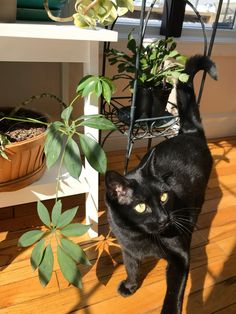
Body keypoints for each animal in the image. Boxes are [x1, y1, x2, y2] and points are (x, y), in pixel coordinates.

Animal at [105, 55, 218, 312]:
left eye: (165, 197)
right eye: (141, 206)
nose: (165, 218)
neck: (138, 236)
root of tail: (189, 132)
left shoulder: (179, 258)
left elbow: (174, 293)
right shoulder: (128, 248)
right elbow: (131, 266)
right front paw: (130, 285)